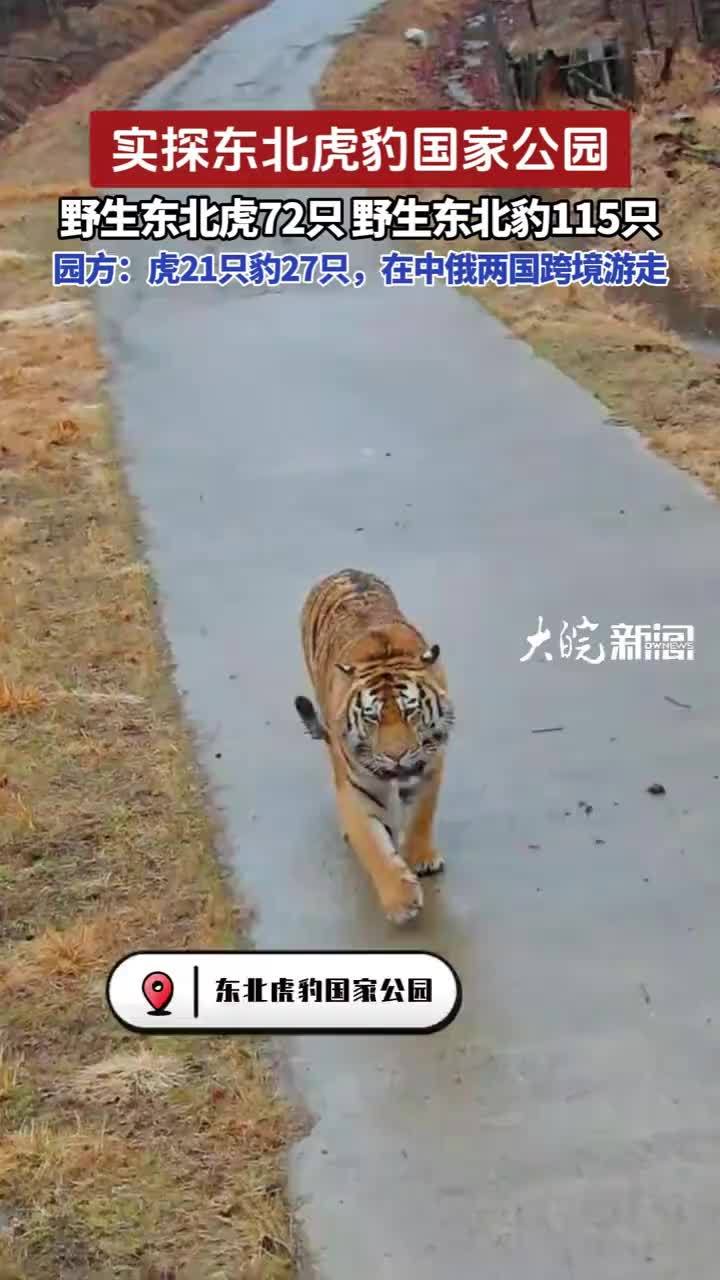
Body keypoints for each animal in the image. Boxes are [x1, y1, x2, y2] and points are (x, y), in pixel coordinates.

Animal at [294, 569, 455, 925]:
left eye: (411, 712)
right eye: (372, 718)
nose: (396, 756)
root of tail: (343, 570)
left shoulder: (430, 765)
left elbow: (422, 814)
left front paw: (420, 858)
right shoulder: (357, 787)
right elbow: (374, 846)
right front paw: (400, 900)